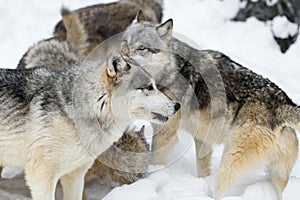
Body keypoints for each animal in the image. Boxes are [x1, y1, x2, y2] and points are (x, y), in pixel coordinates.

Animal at [120, 11, 298, 199]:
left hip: (230, 159)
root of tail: (283, 103)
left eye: (142, 48)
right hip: (276, 176)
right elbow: (203, 170)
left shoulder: (165, 131)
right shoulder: (202, 138)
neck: (172, 70)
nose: (120, 57)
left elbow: (155, 162)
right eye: (125, 42)